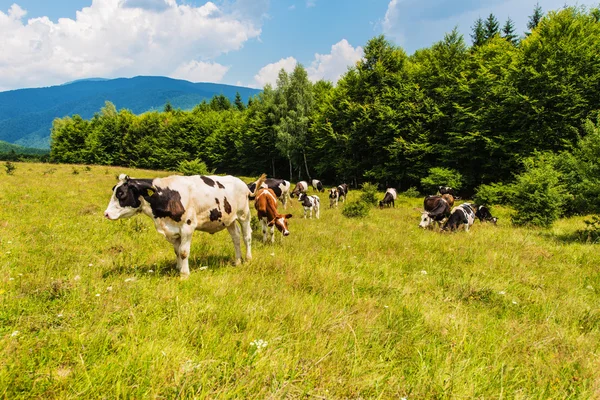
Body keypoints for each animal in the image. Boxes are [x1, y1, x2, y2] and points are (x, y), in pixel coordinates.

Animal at [105, 173, 262, 276]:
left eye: (121, 194)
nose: (106, 213)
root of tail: (242, 183)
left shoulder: (187, 226)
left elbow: (184, 252)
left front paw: (185, 274)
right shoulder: (173, 231)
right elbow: (177, 251)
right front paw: (179, 268)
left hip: (244, 214)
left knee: (247, 236)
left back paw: (248, 259)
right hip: (229, 219)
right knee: (235, 238)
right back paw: (238, 261)